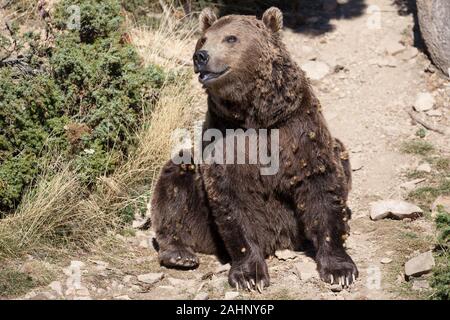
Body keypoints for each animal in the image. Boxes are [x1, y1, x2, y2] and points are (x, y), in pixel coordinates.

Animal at [152, 6, 358, 292]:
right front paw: (250, 274)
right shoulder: (224, 137)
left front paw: (339, 269)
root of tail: (281, 242)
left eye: (231, 38)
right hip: (202, 222)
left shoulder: (297, 127)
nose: (201, 56)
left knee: (341, 154)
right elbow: (230, 199)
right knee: (176, 179)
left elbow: (321, 183)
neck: (256, 114)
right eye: (203, 39)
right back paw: (179, 253)